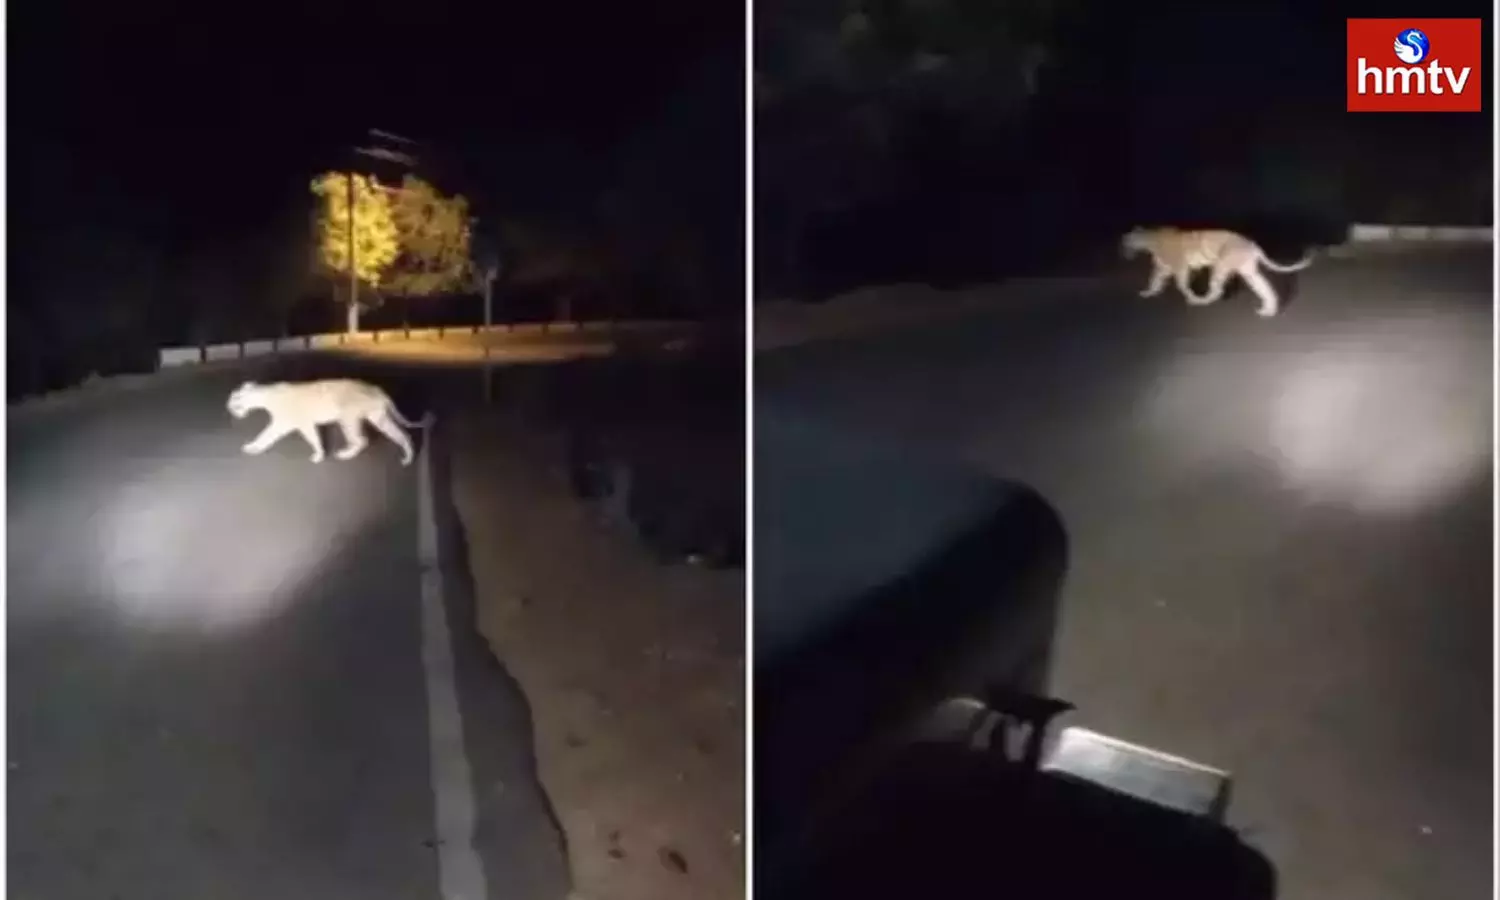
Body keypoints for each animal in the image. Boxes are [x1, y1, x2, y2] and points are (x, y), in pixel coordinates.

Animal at [222, 378, 438, 468]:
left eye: (232, 404)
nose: (231, 412)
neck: (264, 396)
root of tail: (378, 389)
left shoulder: (299, 423)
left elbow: (310, 438)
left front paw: (318, 455)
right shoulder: (284, 424)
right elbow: (265, 436)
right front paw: (253, 447)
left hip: (348, 418)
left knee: (362, 440)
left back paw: (345, 454)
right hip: (379, 418)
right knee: (403, 435)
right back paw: (408, 458)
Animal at [1122, 226, 1320, 318]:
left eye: (1124, 241)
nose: (1121, 251)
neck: (1149, 241)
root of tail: (1252, 244)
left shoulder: (1181, 267)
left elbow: (1182, 285)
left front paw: (1191, 297)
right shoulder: (1162, 269)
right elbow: (1154, 281)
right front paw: (1148, 293)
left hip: (1221, 266)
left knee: (1217, 290)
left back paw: (1201, 301)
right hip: (1248, 271)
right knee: (1265, 288)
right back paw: (1268, 310)